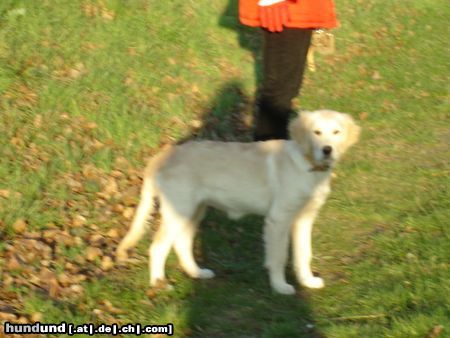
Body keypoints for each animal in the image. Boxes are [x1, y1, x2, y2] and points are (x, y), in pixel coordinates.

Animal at [116, 110, 358, 294]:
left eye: (336, 132)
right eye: (316, 132)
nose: (327, 150)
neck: (309, 167)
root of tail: (161, 156)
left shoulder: (304, 218)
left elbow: (304, 253)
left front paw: (307, 281)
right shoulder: (279, 218)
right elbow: (279, 256)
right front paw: (280, 287)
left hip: (195, 210)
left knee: (182, 243)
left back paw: (197, 273)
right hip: (180, 209)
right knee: (158, 247)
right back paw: (159, 284)